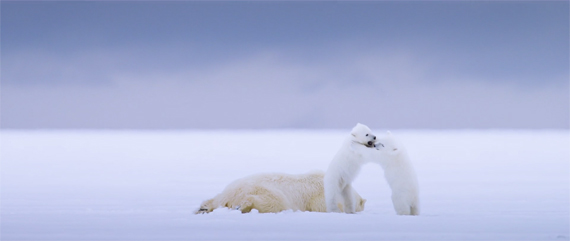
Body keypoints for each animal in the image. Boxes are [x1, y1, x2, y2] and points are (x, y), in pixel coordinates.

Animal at [194, 170, 364, 214]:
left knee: (214, 199)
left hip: (228, 190)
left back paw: (202, 208)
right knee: (274, 203)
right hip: (266, 190)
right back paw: (242, 206)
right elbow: (323, 206)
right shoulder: (320, 195)